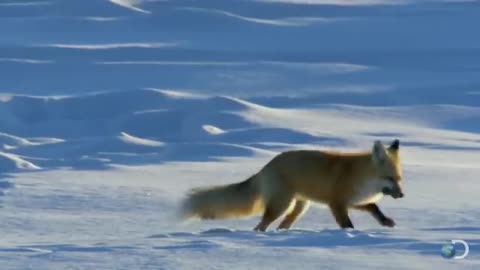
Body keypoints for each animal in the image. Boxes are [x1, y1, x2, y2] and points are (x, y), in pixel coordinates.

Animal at [182, 140, 404, 231]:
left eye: (399, 179)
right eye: (390, 178)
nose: (402, 195)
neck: (360, 177)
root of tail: (267, 166)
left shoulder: (353, 201)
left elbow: (374, 207)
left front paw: (385, 221)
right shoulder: (337, 203)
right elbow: (347, 224)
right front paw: (349, 235)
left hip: (299, 207)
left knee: (282, 225)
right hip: (282, 205)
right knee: (260, 226)